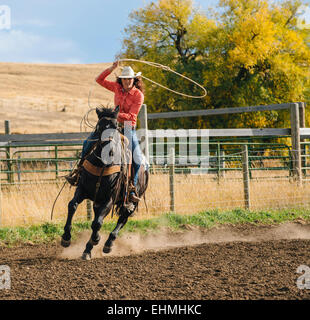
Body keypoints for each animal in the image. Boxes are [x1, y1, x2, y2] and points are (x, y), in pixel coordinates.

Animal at [61, 107, 149, 260]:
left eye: (116, 126)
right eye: (99, 127)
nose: (110, 151)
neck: (101, 163)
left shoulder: (109, 199)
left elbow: (97, 223)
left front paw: (96, 240)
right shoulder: (82, 189)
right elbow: (72, 205)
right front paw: (66, 237)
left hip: (132, 201)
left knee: (122, 219)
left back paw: (108, 244)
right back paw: (88, 249)